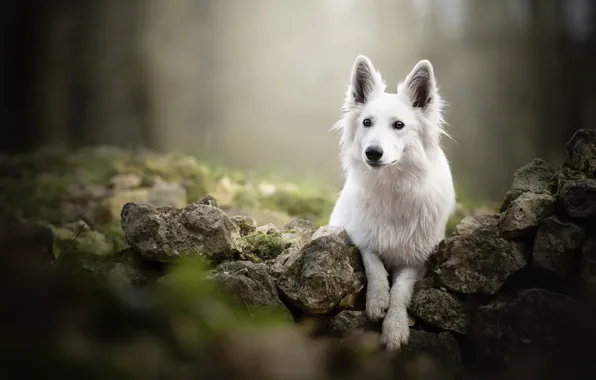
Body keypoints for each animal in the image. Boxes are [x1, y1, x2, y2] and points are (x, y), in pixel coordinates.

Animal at [328, 55, 454, 350]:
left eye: (399, 125)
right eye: (366, 122)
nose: (373, 153)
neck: (392, 188)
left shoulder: (417, 259)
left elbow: (401, 290)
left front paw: (395, 327)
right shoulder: (361, 236)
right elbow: (374, 265)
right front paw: (377, 300)